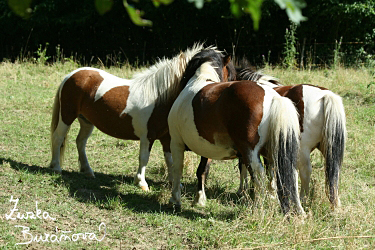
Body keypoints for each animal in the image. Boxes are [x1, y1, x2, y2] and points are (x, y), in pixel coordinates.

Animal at [49, 44, 206, 190]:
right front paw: (142, 183)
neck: (159, 97)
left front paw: (174, 183)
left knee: (80, 142)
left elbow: (170, 160)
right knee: (58, 137)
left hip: (86, 121)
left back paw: (88, 171)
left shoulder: (166, 138)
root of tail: (71, 75)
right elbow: (144, 158)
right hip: (67, 115)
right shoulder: (147, 137)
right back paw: (56, 168)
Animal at [167, 48, 306, 215]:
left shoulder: (176, 143)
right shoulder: (206, 147)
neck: (199, 79)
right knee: (288, 174)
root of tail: (274, 98)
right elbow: (202, 170)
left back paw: (257, 207)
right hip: (274, 151)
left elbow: (178, 169)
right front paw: (199, 199)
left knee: (258, 175)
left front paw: (175, 199)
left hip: (250, 152)